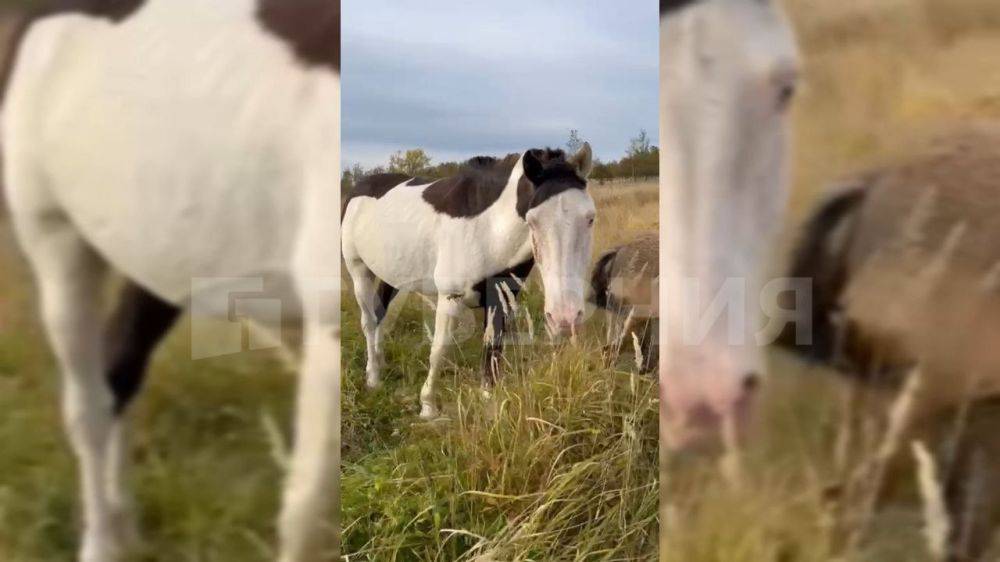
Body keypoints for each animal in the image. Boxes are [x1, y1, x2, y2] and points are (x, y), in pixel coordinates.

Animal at [1, 2, 342, 556]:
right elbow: (310, 512)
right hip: (53, 232)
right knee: (89, 406)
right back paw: (102, 543)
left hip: (160, 249)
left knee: (121, 368)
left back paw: (125, 524)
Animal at [342, 142, 592, 418]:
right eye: (532, 221)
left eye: (590, 218)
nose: (565, 317)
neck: (488, 228)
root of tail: (359, 189)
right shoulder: (450, 297)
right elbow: (439, 350)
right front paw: (427, 406)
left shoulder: (500, 298)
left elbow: (492, 349)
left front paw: (488, 399)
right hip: (359, 272)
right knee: (369, 321)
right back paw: (373, 378)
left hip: (392, 277)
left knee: (380, 315)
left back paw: (379, 361)